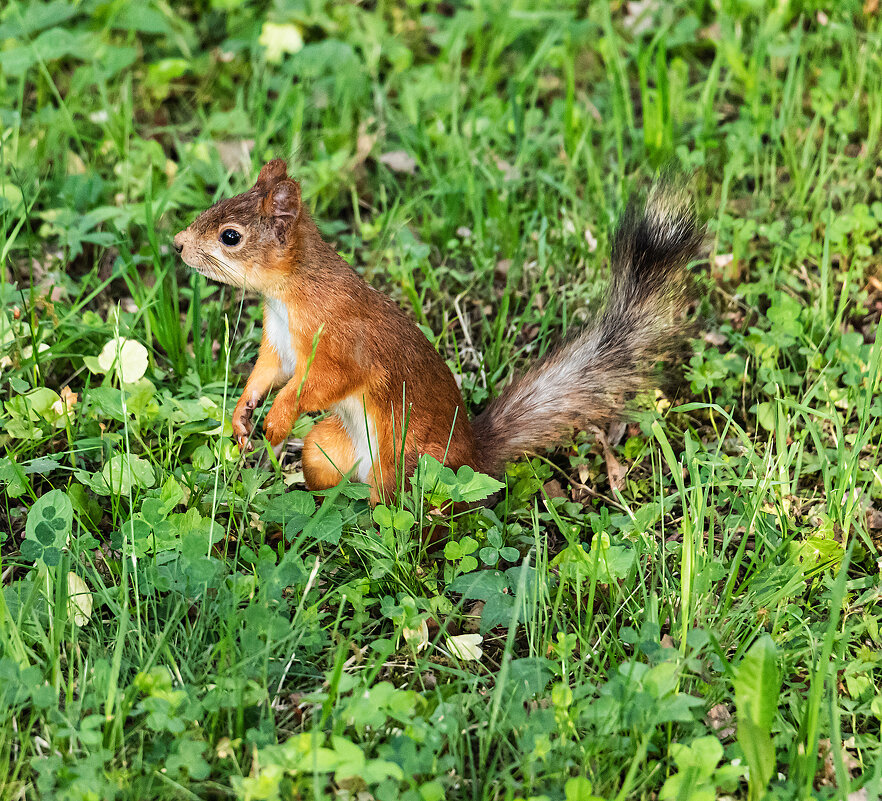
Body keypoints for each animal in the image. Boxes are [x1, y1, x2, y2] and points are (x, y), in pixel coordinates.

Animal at [174, 159, 700, 504]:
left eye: (230, 236)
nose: (177, 243)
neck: (289, 295)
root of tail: (474, 455)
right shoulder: (281, 343)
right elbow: (269, 371)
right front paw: (243, 414)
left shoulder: (344, 343)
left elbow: (321, 383)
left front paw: (278, 418)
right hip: (330, 451)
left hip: (403, 460)